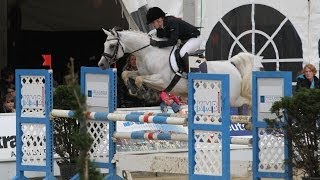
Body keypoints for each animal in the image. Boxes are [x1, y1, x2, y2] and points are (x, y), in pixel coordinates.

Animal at [99, 28, 264, 109]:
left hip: (232, 99)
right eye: (104, 44)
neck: (147, 52)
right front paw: (132, 89)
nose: (101, 64)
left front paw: (142, 93)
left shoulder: (161, 80)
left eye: (112, 46)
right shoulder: (142, 72)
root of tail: (231, 65)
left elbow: (140, 80)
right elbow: (126, 73)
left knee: (247, 100)